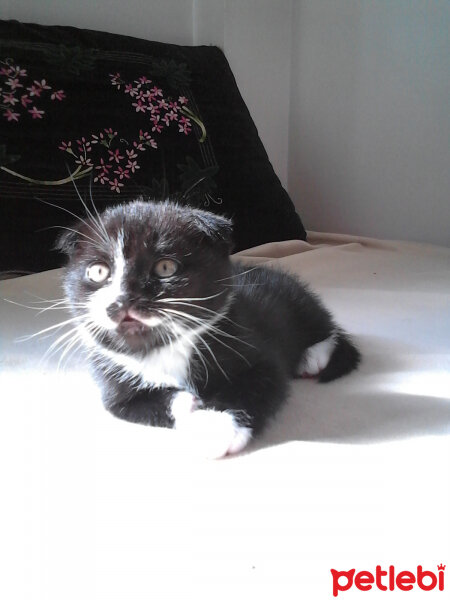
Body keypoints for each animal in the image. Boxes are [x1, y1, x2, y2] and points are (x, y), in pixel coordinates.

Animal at [56, 199, 360, 458]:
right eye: (98, 272)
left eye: (165, 267)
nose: (123, 300)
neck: (163, 347)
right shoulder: (113, 385)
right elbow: (130, 405)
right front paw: (189, 403)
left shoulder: (253, 346)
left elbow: (257, 382)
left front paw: (218, 426)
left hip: (296, 299)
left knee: (325, 326)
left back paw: (313, 356)